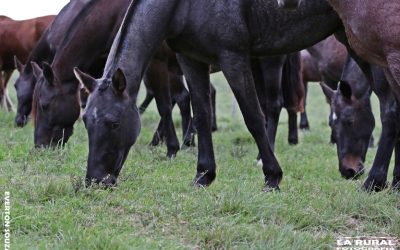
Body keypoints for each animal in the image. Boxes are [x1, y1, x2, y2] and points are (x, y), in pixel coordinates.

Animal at [73, 0, 342, 188]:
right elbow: (201, 115)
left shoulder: (233, 57)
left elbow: (253, 117)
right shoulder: (191, 59)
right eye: (85, 121)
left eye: (114, 123)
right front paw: (204, 175)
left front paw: (272, 177)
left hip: (274, 60)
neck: (184, 5)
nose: (95, 180)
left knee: (273, 105)